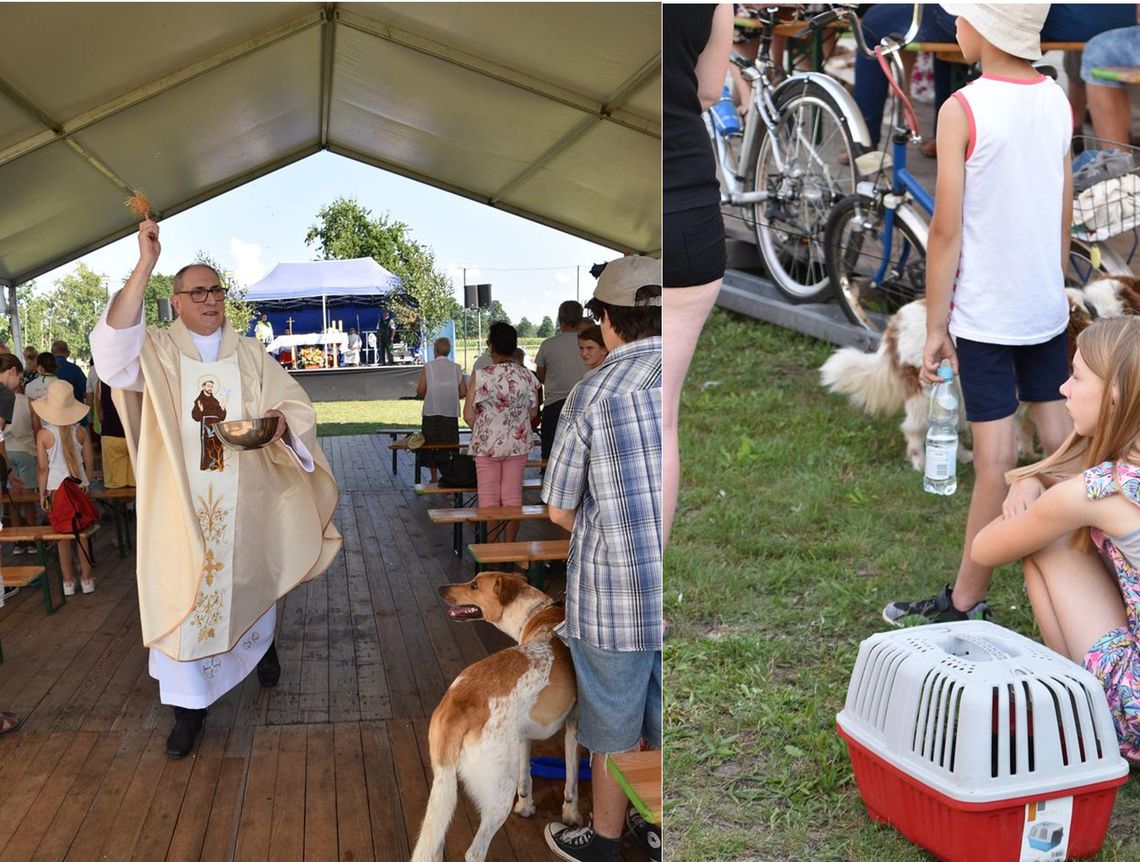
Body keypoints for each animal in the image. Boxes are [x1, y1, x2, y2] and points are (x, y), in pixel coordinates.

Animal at [412, 572, 579, 861]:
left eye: (474, 585)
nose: (441, 588)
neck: (540, 613)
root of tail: (458, 704)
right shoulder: (575, 725)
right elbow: (572, 779)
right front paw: (571, 814)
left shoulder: (523, 735)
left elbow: (527, 776)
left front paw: (526, 806)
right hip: (498, 796)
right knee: (475, 852)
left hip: (444, 786)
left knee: (436, 846)